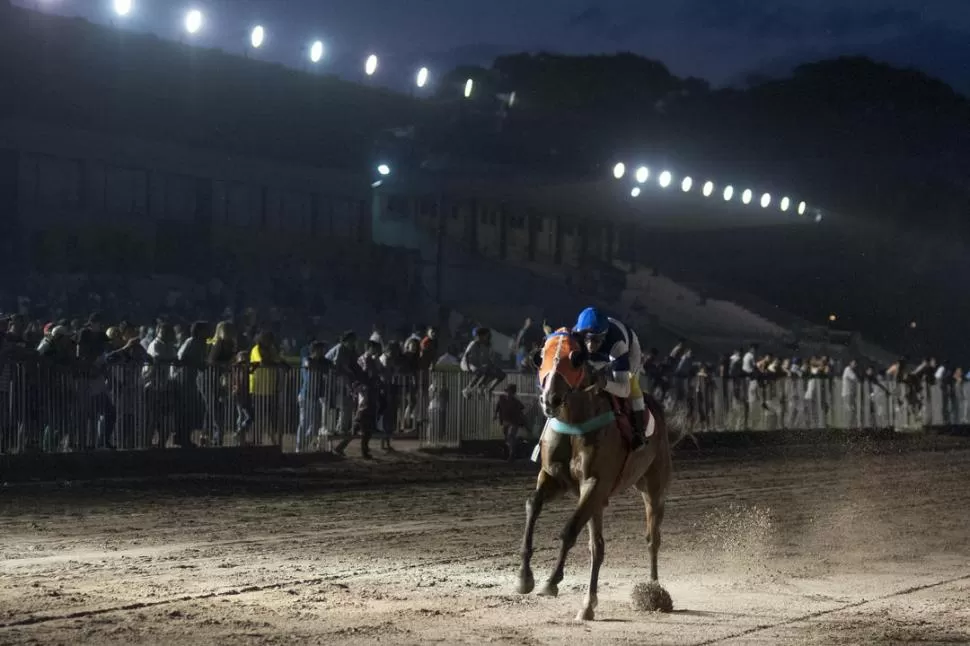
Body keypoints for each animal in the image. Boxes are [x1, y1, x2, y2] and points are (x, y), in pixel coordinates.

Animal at [516, 330, 672, 624]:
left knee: (652, 538)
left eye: (575, 358)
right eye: (540, 357)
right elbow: (532, 505)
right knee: (597, 546)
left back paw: (654, 591)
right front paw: (524, 577)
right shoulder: (555, 478)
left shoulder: (594, 483)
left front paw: (550, 582)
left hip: (652, 485)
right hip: (597, 501)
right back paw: (588, 604)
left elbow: (568, 530)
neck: (574, 422)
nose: (550, 399)